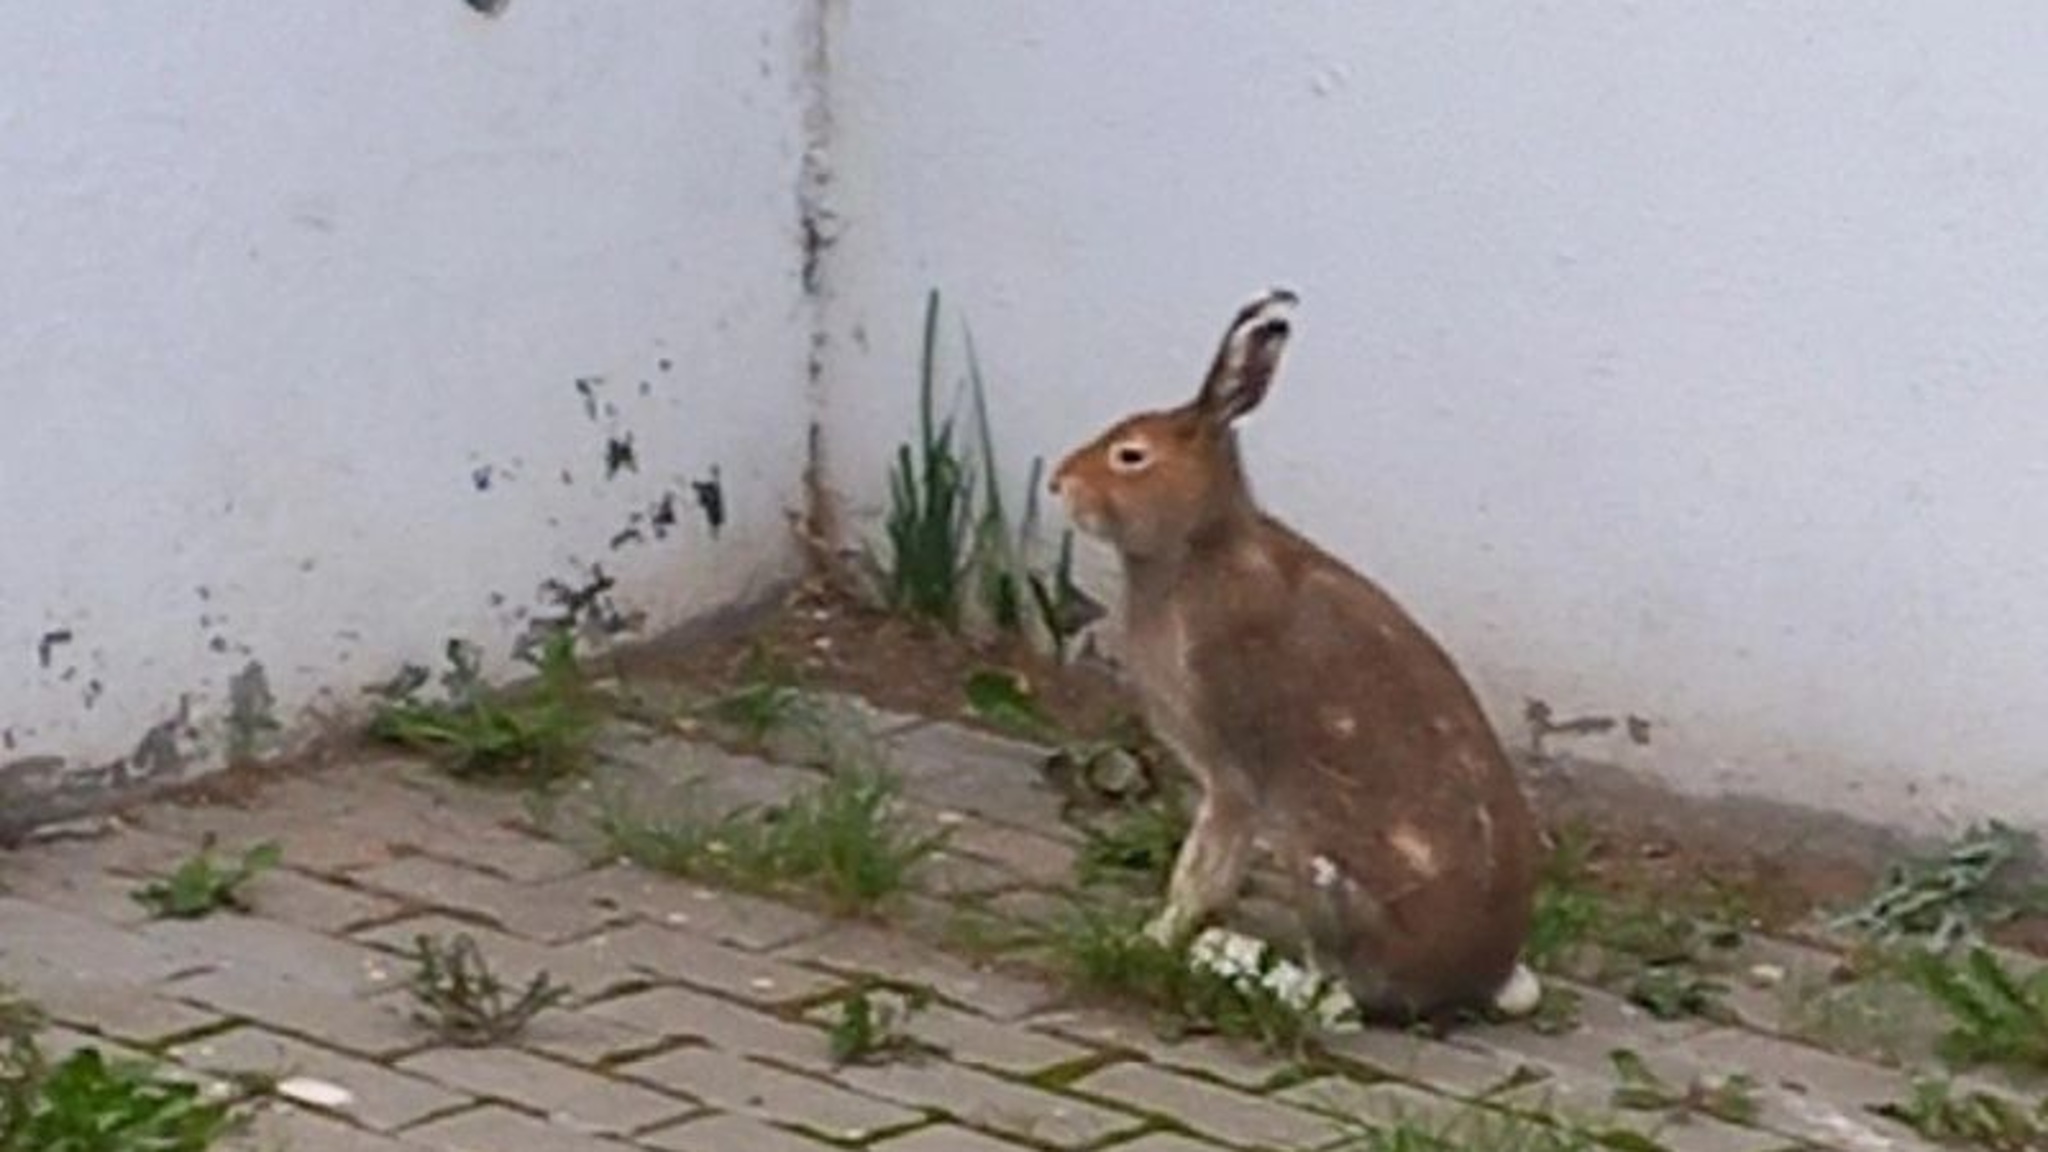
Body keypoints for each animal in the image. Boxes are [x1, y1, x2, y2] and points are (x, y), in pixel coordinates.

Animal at [1047, 288, 1542, 1024]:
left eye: (1130, 456)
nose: (1059, 483)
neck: (1197, 546)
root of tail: (1465, 980)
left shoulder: (1231, 780)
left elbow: (1200, 874)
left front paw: (1154, 940)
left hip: (1322, 872)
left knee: (1336, 1000)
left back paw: (1228, 960)